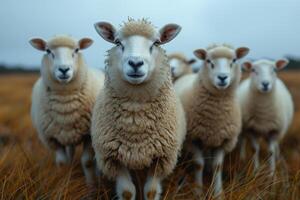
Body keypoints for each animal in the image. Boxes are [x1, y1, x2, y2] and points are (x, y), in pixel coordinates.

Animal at [29, 35, 104, 185]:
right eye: (48, 51)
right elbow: (62, 162)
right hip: (66, 135)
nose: (64, 69)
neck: (65, 106)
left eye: (76, 50)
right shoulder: (51, 139)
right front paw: (63, 181)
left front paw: (92, 186)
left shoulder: (89, 135)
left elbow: (87, 162)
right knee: (70, 152)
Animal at [91, 19, 186, 200]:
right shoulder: (113, 158)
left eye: (156, 43)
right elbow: (127, 192)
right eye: (118, 42)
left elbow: (151, 191)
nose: (135, 63)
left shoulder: (161, 158)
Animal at [175, 43, 250, 197]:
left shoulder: (223, 139)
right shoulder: (193, 139)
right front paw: (198, 191)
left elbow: (218, 166)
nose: (222, 77)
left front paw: (218, 192)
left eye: (234, 60)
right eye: (208, 61)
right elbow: (198, 164)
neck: (216, 116)